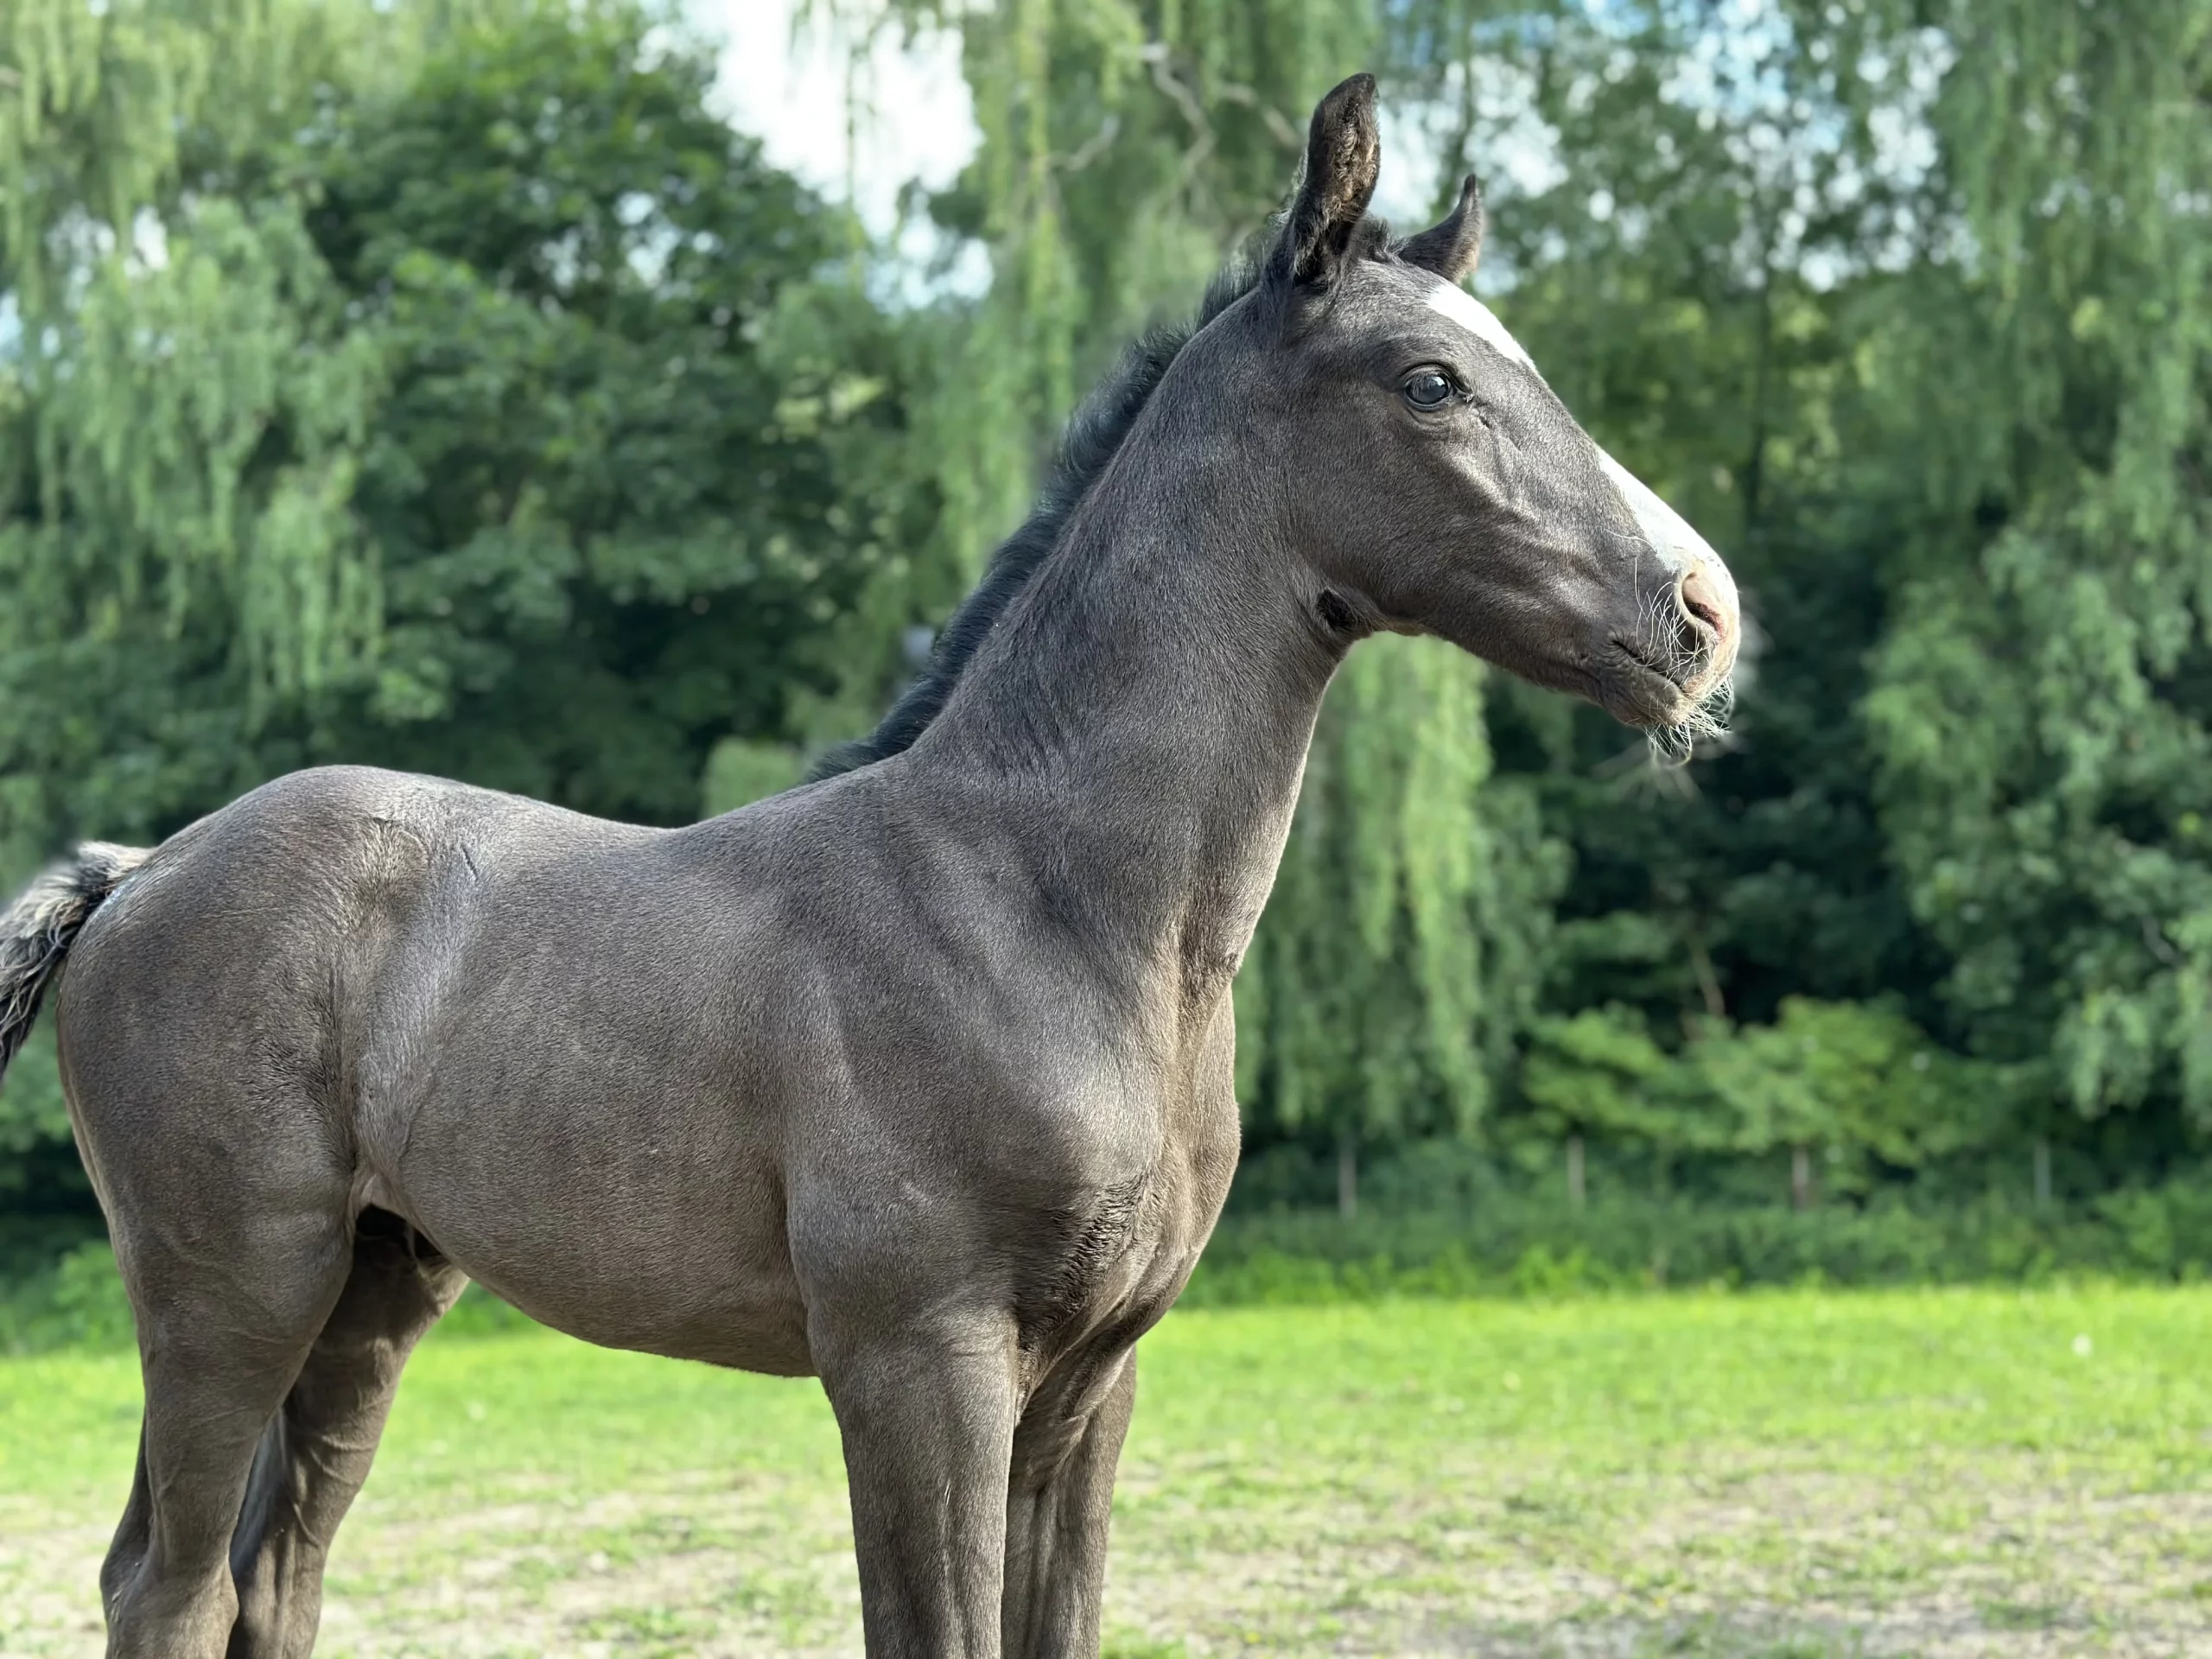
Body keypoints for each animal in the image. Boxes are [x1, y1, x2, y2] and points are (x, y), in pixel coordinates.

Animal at [0, 73, 1737, 1659]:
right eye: (1432, 380)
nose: (1704, 615)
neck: (1047, 910)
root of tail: (138, 872)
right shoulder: (922, 1362)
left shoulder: (1093, 1381)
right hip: (230, 1289)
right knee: (165, 1584)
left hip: (373, 1295)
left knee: (270, 1577)